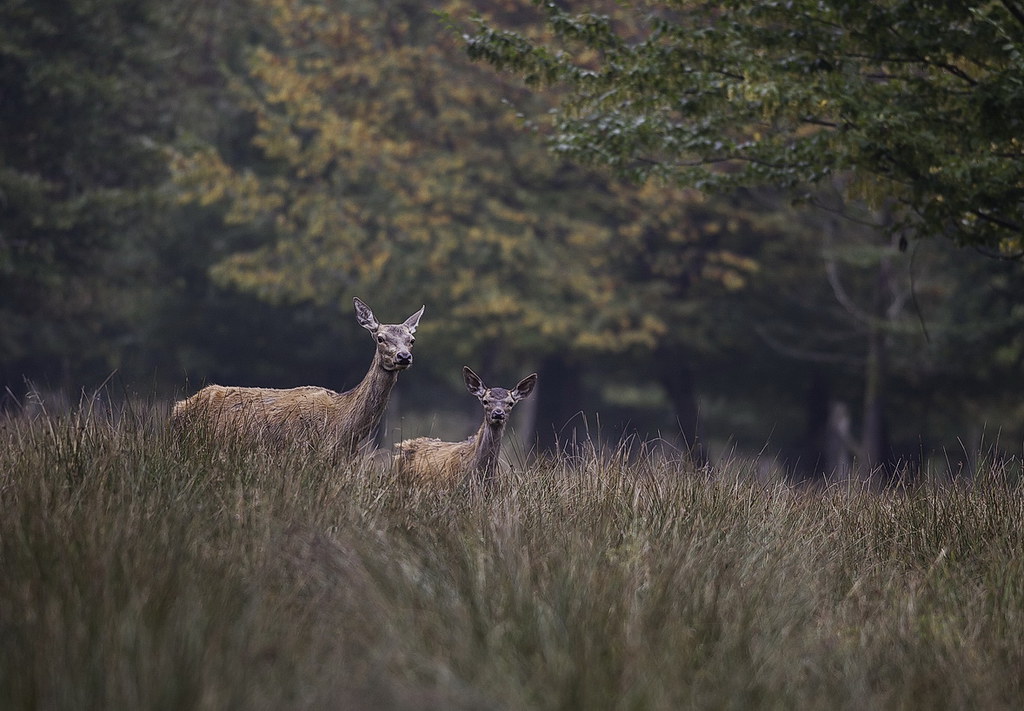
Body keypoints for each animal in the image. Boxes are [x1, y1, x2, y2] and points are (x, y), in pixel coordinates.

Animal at [172, 297, 423, 456]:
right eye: (380, 338)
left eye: (411, 340)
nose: (403, 356)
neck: (343, 429)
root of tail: (179, 406)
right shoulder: (302, 453)